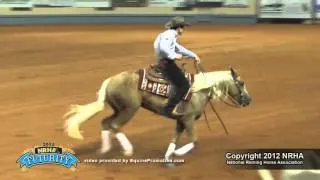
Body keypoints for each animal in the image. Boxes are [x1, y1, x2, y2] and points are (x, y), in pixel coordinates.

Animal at [63, 64, 252, 167]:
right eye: (242, 83)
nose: (249, 100)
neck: (199, 90)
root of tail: (110, 80)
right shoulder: (188, 119)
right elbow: (194, 141)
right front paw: (179, 153)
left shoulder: (180, 120)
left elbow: (174, 139)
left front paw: (168, 158)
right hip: (129, 109)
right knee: (115, 125)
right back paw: (128, 150)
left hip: (118, 109)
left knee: (105, 122)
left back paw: (104, 150)